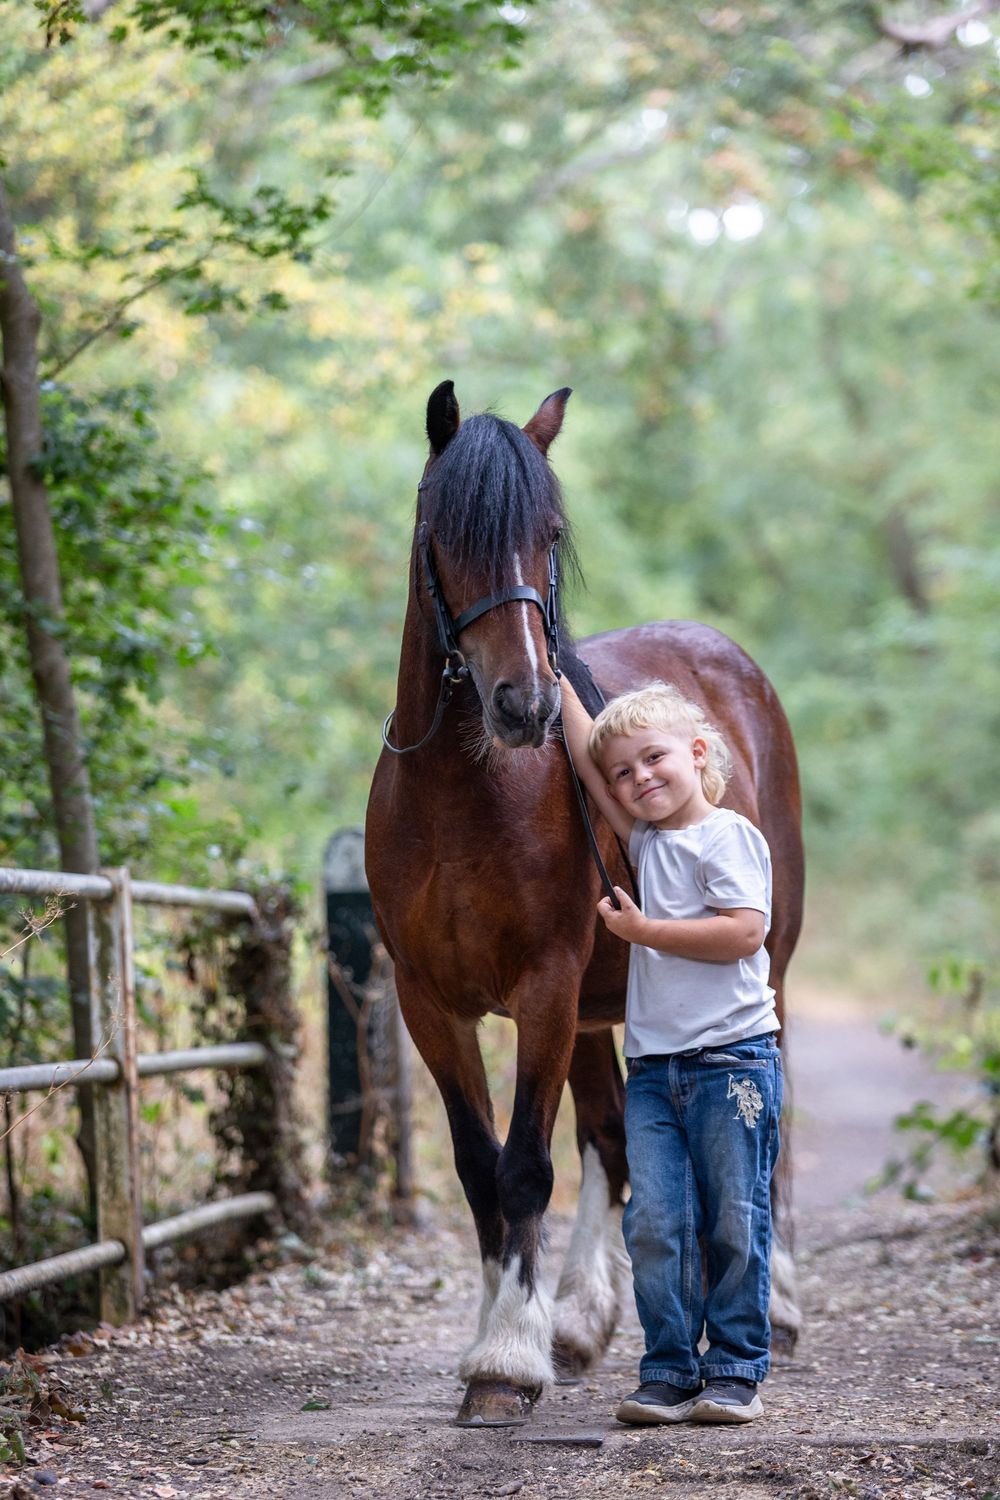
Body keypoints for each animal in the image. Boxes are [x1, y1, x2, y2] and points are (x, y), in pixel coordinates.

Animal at [365, 381, 804, 1427]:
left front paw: (507, 1361)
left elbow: (527, 1165)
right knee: (612, 1142)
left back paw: (779, 1305)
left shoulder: (547, 988)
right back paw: (579, 1318)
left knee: (770, 1130)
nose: (526, 704)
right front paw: (509, 1334)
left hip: (767, 964)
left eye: (549, 534)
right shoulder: (430, 1005)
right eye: (444, 533)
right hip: (608, 1008)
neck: (464, 793)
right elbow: (482, 1168)